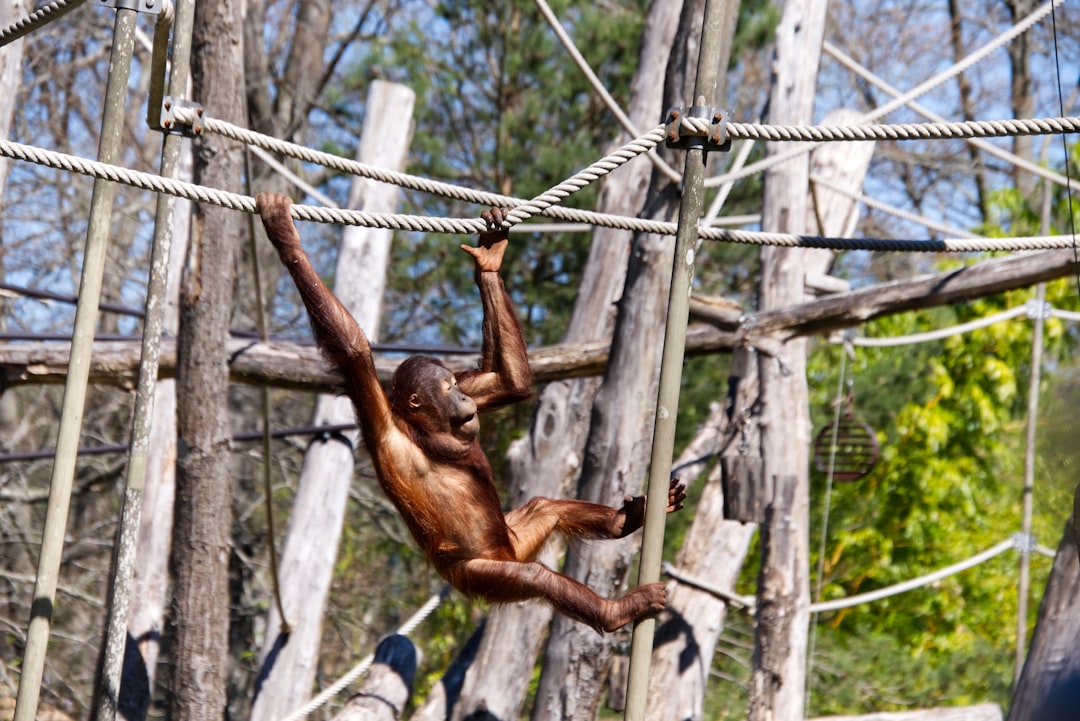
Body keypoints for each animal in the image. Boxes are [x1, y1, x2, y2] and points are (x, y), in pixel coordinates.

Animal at [256, 194, 685, 632]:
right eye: (446, 389)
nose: (462, 399)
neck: (425, 431)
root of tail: (507, 553)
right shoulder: (381, 421)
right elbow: (353, 349)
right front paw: (284, 234)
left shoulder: (474, 388)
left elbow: (508, 384)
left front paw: (490, 257)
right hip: (482, 575)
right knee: (534, 577)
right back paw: (617, 611)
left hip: (517, 539)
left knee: (546, 508)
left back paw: (626, 520)